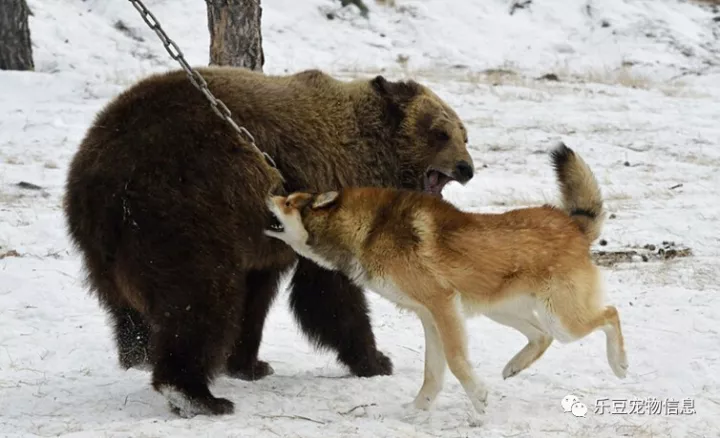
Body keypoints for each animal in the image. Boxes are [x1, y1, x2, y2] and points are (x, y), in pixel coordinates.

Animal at [63, 66, 478, 418]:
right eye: (440, 132)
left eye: (464, 134)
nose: (466, 168)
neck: (370, 154)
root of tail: (103, 173)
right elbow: (328, 294)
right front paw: (376, 360)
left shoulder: (262, 239)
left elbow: (257, 296)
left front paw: (249, 364)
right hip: (181, 207)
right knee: (200, 297)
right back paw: (196, 395)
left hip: (105, 240)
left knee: (127, 306)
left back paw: (138, 353)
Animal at [264, 144, 624, 414]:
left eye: (289, 202)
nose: (268, 193)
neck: (370, 229)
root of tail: (572, 225)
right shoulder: (431, 317)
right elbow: (433, 373)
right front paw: (416, 410)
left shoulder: (443, 306)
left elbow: (455, 361)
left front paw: (478, 399)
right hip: (503, 311)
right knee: (541, 337)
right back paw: (514, 367)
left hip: (562, 319)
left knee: (610, 314)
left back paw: (619, 364)